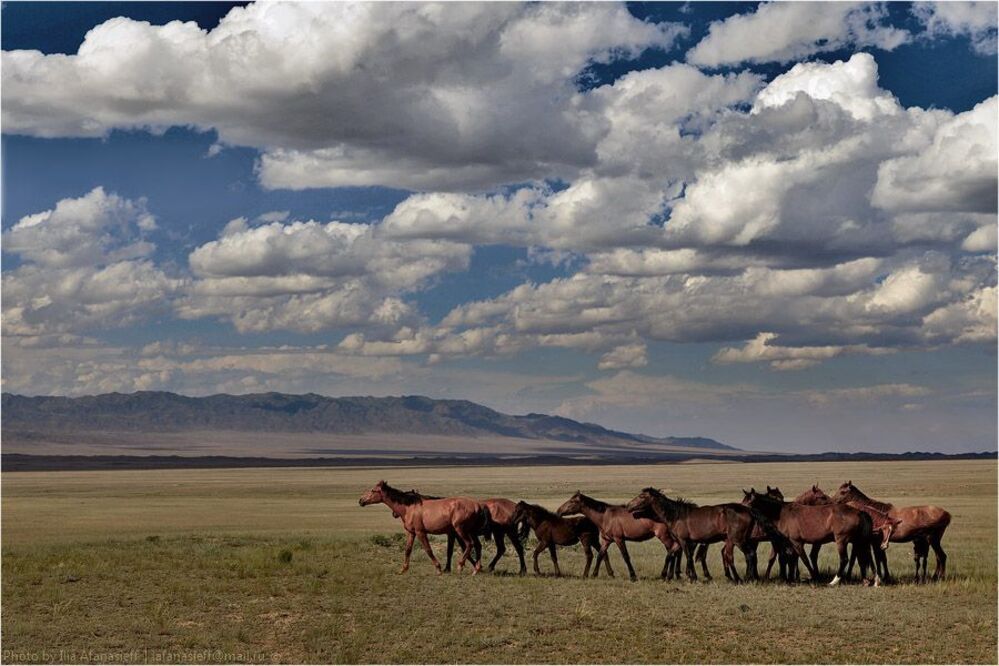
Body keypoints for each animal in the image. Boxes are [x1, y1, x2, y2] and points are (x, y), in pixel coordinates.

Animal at [359, 481, 491, 574]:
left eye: (373, 490)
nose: (361, 501)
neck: (409, 507)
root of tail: (477, 505)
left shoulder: (420, 532)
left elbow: (428, 549)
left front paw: (438, 569)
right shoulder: (411, 533)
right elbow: (408, 550)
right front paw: (403, 569)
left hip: (461, 530)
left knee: (469, 544)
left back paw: (460, 566)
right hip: (469, 531)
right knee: (477, 546)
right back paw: (476, 568)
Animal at [625, 487, 759, 582]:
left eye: (642, 496)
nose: (628, 506)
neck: (676, 515)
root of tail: (749, 511)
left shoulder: (684, 540)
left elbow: (688, 556)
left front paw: (692, 577)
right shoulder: (678, 542)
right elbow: (670, 555)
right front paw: (664, 576)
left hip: (738, 540)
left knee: (748, 555)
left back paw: (743, 579)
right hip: (736, 540)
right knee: (742, 555)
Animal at [742, 488, 876, 586]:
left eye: (749, 502)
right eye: (743, 500)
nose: (740, 509)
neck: (781, 513)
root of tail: (859, 512)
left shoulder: (796, 542)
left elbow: (804, 559)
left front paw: (814, 577)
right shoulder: (788, 544)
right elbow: (790, 560)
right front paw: (791, 578)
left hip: (841, 541)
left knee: (844, 559)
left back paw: (834, 581)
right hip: (858, 541)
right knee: (863, 558)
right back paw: (869, 580)